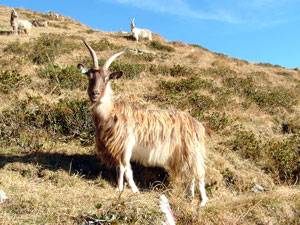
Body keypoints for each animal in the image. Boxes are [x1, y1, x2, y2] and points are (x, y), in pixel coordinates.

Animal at [77, 37, 209, 207]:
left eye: (107, 78)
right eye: (89, 76)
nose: (95, 94)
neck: (111, 112)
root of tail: (199, 125)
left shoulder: (125, 144)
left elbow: (124, 167)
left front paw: (123, 189)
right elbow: (124, 168)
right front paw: (129, 189)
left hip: (193, 151)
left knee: (199, 173)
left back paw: (202, 202)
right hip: (183, 154)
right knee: (190, 173)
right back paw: (189, 196)